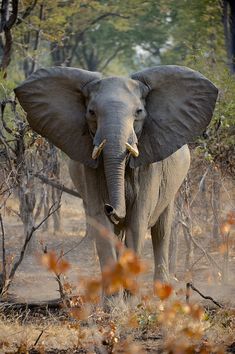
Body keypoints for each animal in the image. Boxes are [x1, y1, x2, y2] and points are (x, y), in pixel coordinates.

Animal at [13, 65, 218, 284]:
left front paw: (130, 292)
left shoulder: (150, 165)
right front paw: (113, 293)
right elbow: (101, 223)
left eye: (139, 112)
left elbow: (138, 220)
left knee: (161, 229)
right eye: (91, 112)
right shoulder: (90, 168)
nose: (111, 207)